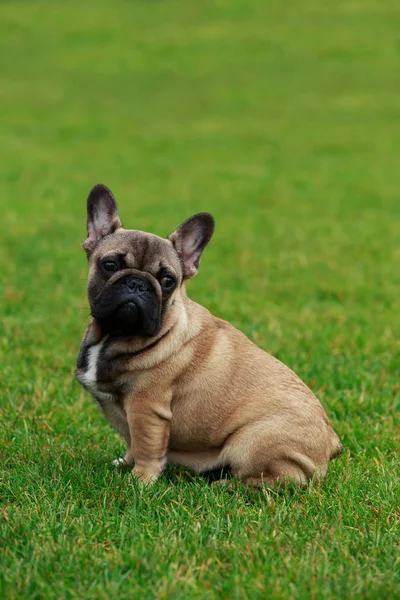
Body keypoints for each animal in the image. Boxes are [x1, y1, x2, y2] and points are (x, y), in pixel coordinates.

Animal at [76, 184, 342, 488]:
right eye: (109, 265)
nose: (137, 283)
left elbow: (145, 446)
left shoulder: (147, 409)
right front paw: (124, 464)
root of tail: (331, 442)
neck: (116, 334)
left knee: (279, 480)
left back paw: (227, 484)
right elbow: (133, 442)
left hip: (250, 441)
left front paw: (140, 480)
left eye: (168, 281)